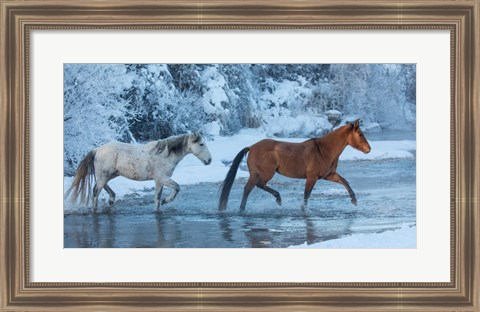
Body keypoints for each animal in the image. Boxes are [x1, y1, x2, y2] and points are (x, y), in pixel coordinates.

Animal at [64, 132, 212, 212]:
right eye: (201, 144)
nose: (209, 160)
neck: (165, 154)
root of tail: (97, 149)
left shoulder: (159, 181)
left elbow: (157, 198)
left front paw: (160, 205)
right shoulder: (163, 178)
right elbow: (177, 188)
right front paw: (166, 200)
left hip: (110, 174)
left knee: (102, 186)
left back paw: (112, 198)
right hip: (104, 175)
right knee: (95, 191)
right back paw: (96, 209)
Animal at [218, 118, 372, 211]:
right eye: (360, 134)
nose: (368, 149)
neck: (323, 150)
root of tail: (251, 147)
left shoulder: (329, 175)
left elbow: (345, 182)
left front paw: (354, 200)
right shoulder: (312, 177)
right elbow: (307, 194)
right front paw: (304, 209)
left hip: (257, 174)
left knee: (250, 188)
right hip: (264, 173)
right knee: (254, 187)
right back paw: (275, 199)